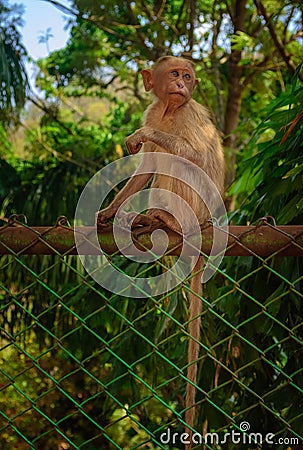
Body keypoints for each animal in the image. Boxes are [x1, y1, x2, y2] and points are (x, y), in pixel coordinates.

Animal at [97, 55, 226, 446]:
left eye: (187, 76)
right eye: (174, 75)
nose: (182, 84)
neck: (170, 110)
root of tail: (206, 222)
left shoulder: (187, 115)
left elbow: (193, 154)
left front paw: (144, 137)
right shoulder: (155, 110)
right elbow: (146, 168)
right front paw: (110, 210)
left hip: (197, 207)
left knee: (180, 160)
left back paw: (164, 219)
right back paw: (141, 217)